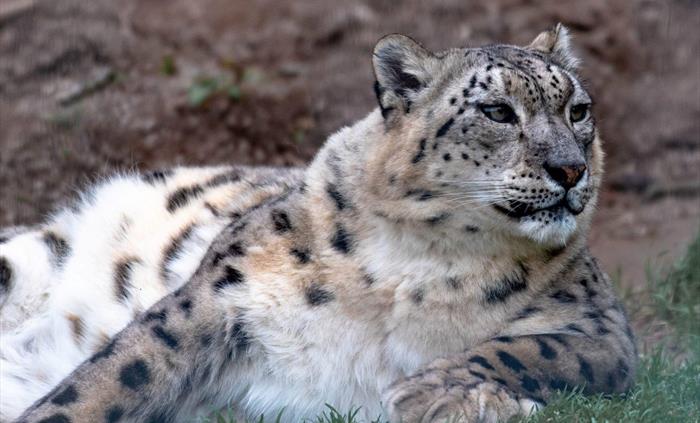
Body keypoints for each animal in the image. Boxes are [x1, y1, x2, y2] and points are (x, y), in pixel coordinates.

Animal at [1, 24, 637, 423]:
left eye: (578, 110)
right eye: (498, 111)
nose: (570, 168)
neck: (417, 263)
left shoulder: (600, 325)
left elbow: (535, 350)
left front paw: (430, 392)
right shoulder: (219, 293)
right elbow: (114, 377)